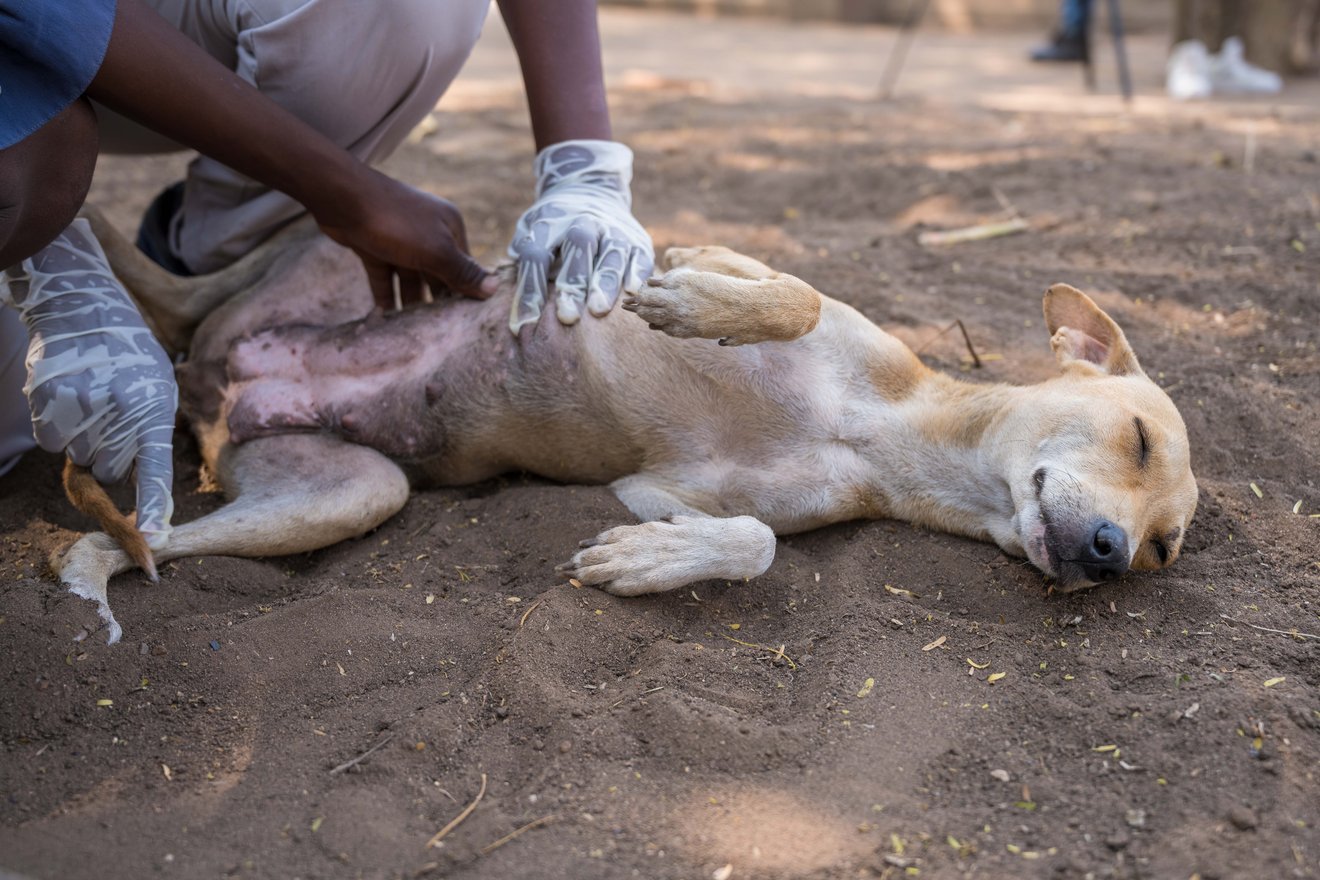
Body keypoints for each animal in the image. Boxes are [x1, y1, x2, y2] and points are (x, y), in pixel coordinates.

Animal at [59, 209, 1198, 643]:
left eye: (1164, 549)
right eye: (1138, 438)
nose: (1107, 553)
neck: (890, 430)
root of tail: (208, 376)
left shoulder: (660, 486)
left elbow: (755, 538)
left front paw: (652, 562)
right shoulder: (720, 252)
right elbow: (788, 296)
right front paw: (698, 309)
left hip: (342, 491)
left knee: (134, 537)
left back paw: (94, 556)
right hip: (342, 250)